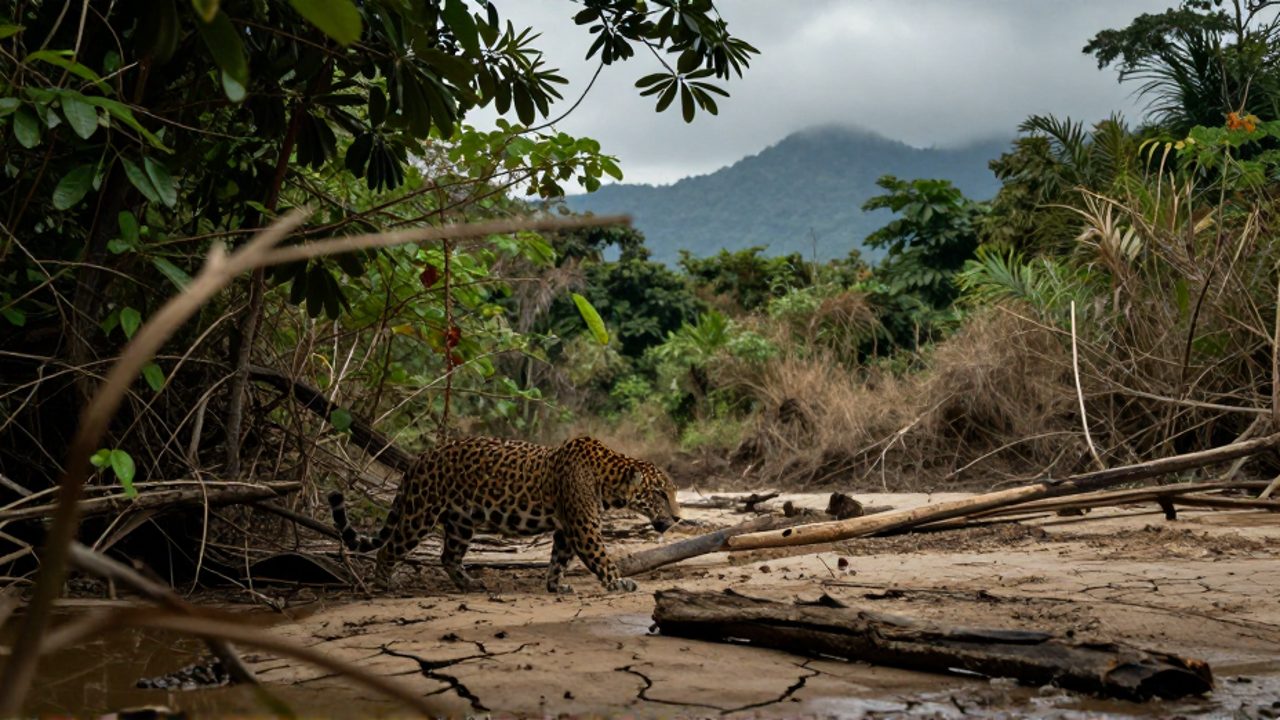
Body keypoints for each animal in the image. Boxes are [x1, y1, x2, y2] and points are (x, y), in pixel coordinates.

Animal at [328, 435, 681, 593]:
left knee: (448, 556)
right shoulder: (583, 528)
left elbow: (559, 559)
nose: (678, 518)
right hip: (421, 514)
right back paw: (383, 585)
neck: (608, 482)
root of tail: (418, 460)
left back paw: (470, 584)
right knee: (389, 548)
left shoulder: (566, 528)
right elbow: (601, 558)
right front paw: (619, 582)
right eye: (660, 494)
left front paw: (556, 586)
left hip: (460, 522)